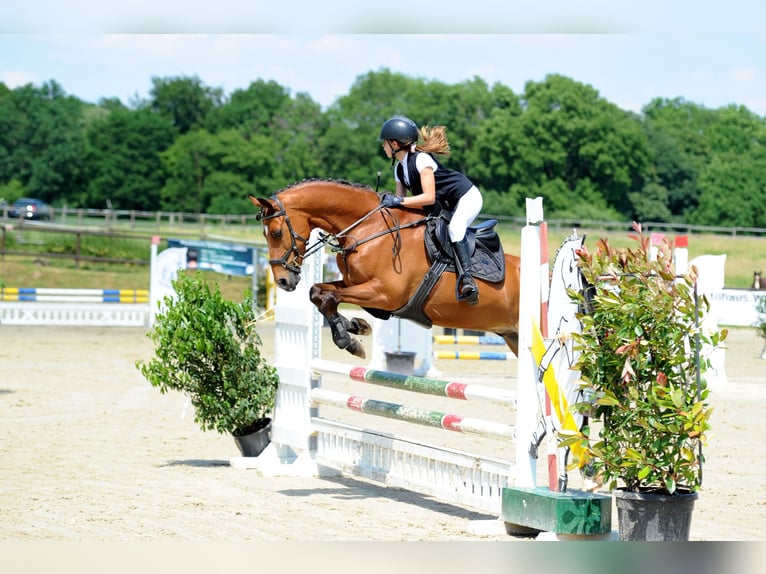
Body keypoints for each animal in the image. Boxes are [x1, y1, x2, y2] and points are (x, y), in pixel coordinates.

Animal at [251, 179, 521, 360]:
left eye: (276, 233)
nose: (283, 281)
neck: (369, 228)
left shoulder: (386, 294)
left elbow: (330, 297)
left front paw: (348, 339)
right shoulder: (354, 284)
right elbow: (318, 292)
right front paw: (355, 327)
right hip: (512, 337)